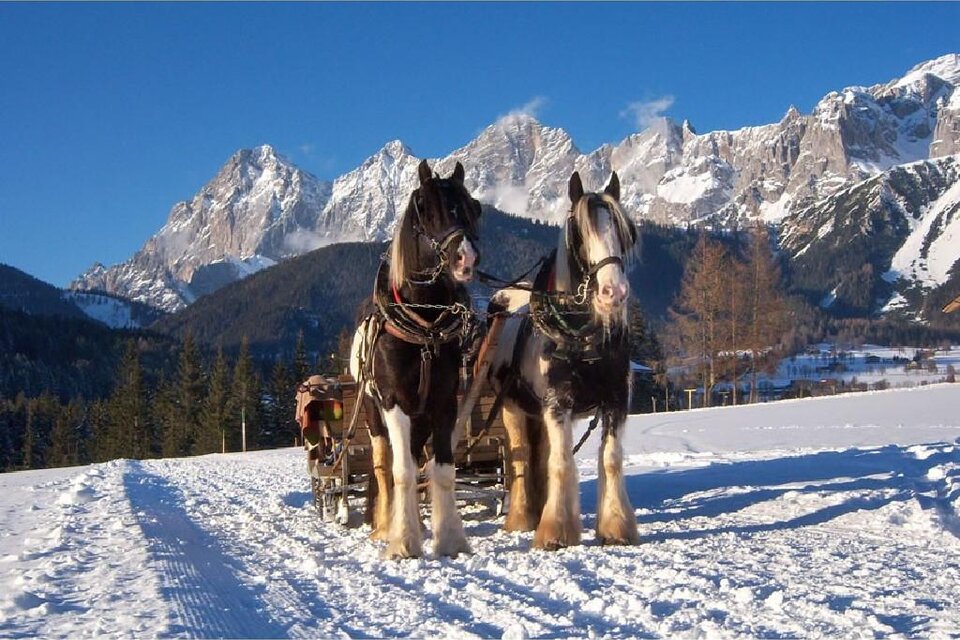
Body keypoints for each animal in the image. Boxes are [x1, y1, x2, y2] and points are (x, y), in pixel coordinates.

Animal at [349, 159, 481, 559]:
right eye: (426, 208)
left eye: (474, 209)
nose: (466, 259)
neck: (424, 326)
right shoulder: (394, 403)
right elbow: (402, 472)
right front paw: (403, 542)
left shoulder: (443, 403)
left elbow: (443, 471)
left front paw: (449, 539)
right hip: (374, 415)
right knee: (384, 466)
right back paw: (385, 526)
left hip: (420, 420)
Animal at [484, 170, 640, 549]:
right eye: (579, 232)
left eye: (624, 231)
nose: (613, 292)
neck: (582, 340)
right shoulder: (558, 404)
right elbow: (561, 463)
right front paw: (554, 532)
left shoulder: (616, 401)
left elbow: (610, 460)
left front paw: (616, 528)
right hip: (511, 407)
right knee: (520, 456)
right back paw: (522, 517)